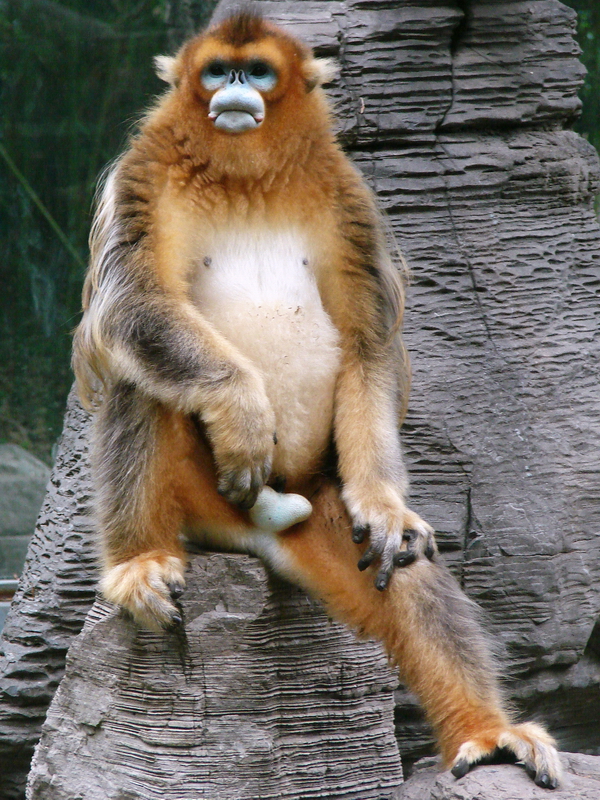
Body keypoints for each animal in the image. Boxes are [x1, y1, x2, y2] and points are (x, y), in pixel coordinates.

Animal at [72, 10, 562, 790]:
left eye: (258, 72)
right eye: (217, 71)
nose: (236, 91)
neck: (245, 174)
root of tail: (258, 525)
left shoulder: (347, 194)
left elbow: (369, 346)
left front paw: (386, 506)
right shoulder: (142, 170)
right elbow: (130, 307)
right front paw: (243, 410)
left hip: (316, 502)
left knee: (404, 564)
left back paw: (487, 731)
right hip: (200, 493)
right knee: (134, 376)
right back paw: (138, 560)